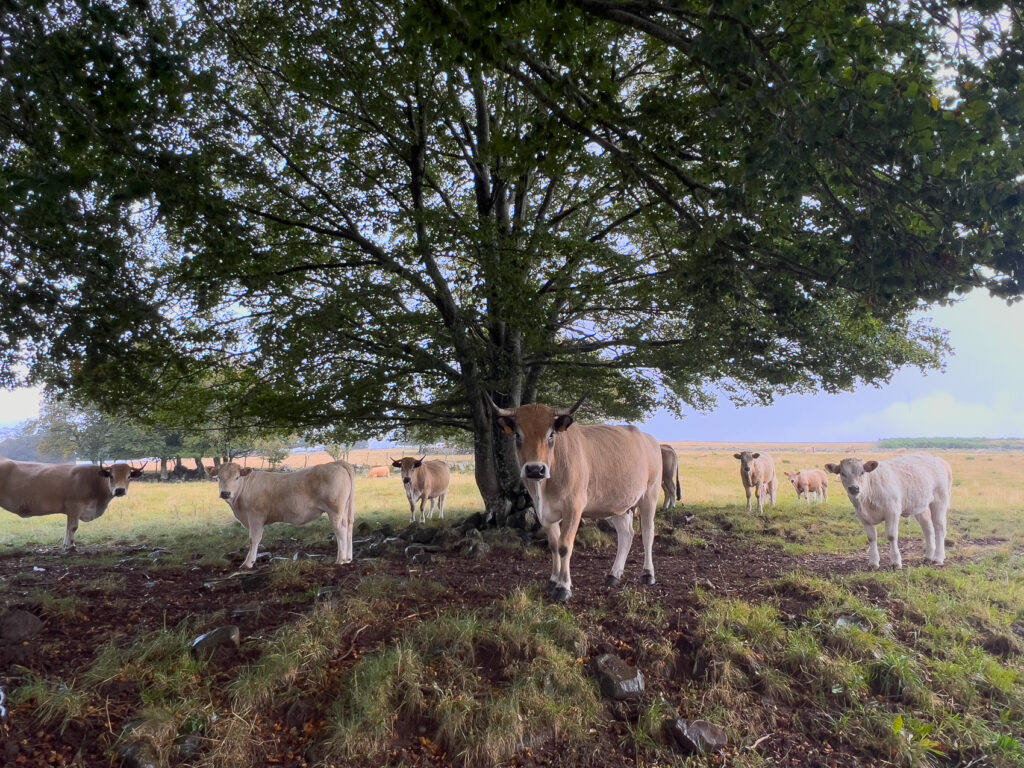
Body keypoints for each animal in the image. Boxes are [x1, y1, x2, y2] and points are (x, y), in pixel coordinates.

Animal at [0, 460, 146, 548]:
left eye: (129, 476)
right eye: (111, 476)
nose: (120, 490)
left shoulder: (70, 510)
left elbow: (68, 527)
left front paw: (66, 545)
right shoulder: (74, 505)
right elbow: (73, 527)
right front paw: (71, 547)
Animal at [207, 460, 356, 569]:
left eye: (237, 477)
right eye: (218, 477)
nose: (225, 493)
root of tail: (336, 463)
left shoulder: (255, 517)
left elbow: (253, 539)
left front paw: (248, 563)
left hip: (335, 510)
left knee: (340, 530)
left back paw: (340, 560)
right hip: (346, 510)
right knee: (349, 527)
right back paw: (348, 558)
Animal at [489, 393, 663, 606]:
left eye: (551, 435)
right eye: (517, 435)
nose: (535, 469)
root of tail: (649, 439)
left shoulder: (573, 507)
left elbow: (564, 546)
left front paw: (564, 587)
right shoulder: (543, 511)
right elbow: (554, 545)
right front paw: (553, 581)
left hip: (649, 495)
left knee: (647, 533)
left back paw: (648, 574)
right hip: (617, 504)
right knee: (626, 535)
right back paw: (613, 575)